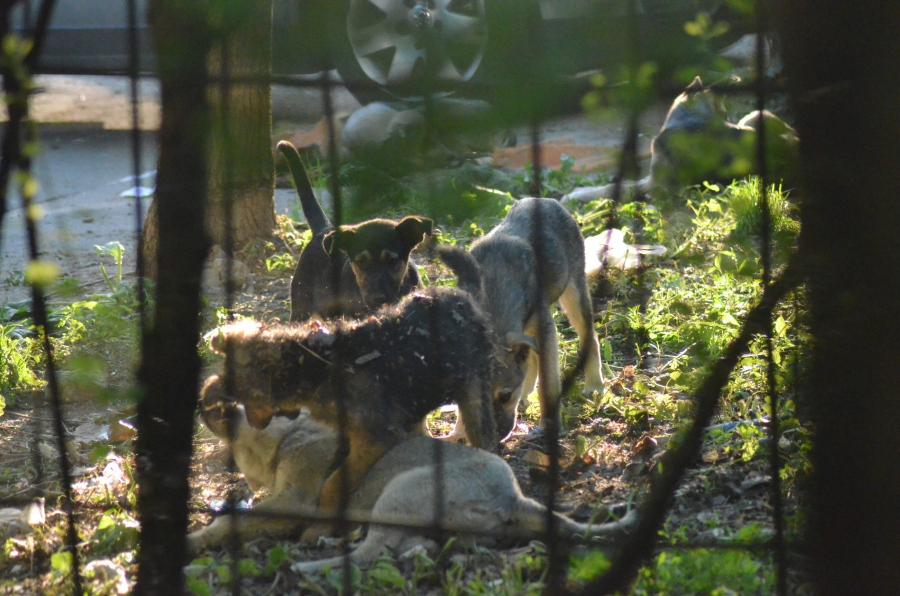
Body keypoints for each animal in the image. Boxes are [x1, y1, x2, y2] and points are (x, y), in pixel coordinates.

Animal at [210, 286, 500, 544]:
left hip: (474, 387)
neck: (316, 368)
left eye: (248, 397)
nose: (255, 424)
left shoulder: (373, 441)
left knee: (485, 436)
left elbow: (332, 485)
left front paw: (319, 527)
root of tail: (462, 297)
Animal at [438, 198, 604, 440]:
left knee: (590, 336)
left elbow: (548, 385)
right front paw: (459, 431)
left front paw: (550, 425)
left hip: (574, 292)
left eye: (505, 396)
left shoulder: (545, 329)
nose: (495, 439)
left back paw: (595, 385)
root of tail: (544, 200)